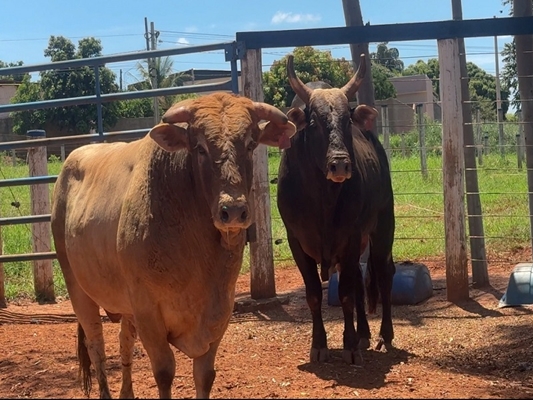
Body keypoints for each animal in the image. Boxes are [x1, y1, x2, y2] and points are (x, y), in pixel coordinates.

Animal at [51, 92, 296, 398]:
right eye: (200, 148)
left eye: (251, 144)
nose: (233, 210)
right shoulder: (149, 314)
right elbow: (165, 372)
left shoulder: (219, 313)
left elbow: (204, 375)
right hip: (79, 291)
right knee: (97, 349)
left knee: (124, 343)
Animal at [278, 54, 394, 364]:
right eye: (314, 122)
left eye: (346, 120)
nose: (340, 164)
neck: (323, 200)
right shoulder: (297, 241)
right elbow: (314, 294)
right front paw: (319, 344)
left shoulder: (351, 237)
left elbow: (344, 294)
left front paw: (350, 345)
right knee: (359, 282)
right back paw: (364, 332)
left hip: (383, 229)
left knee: (383, 274)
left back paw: (383, 335)